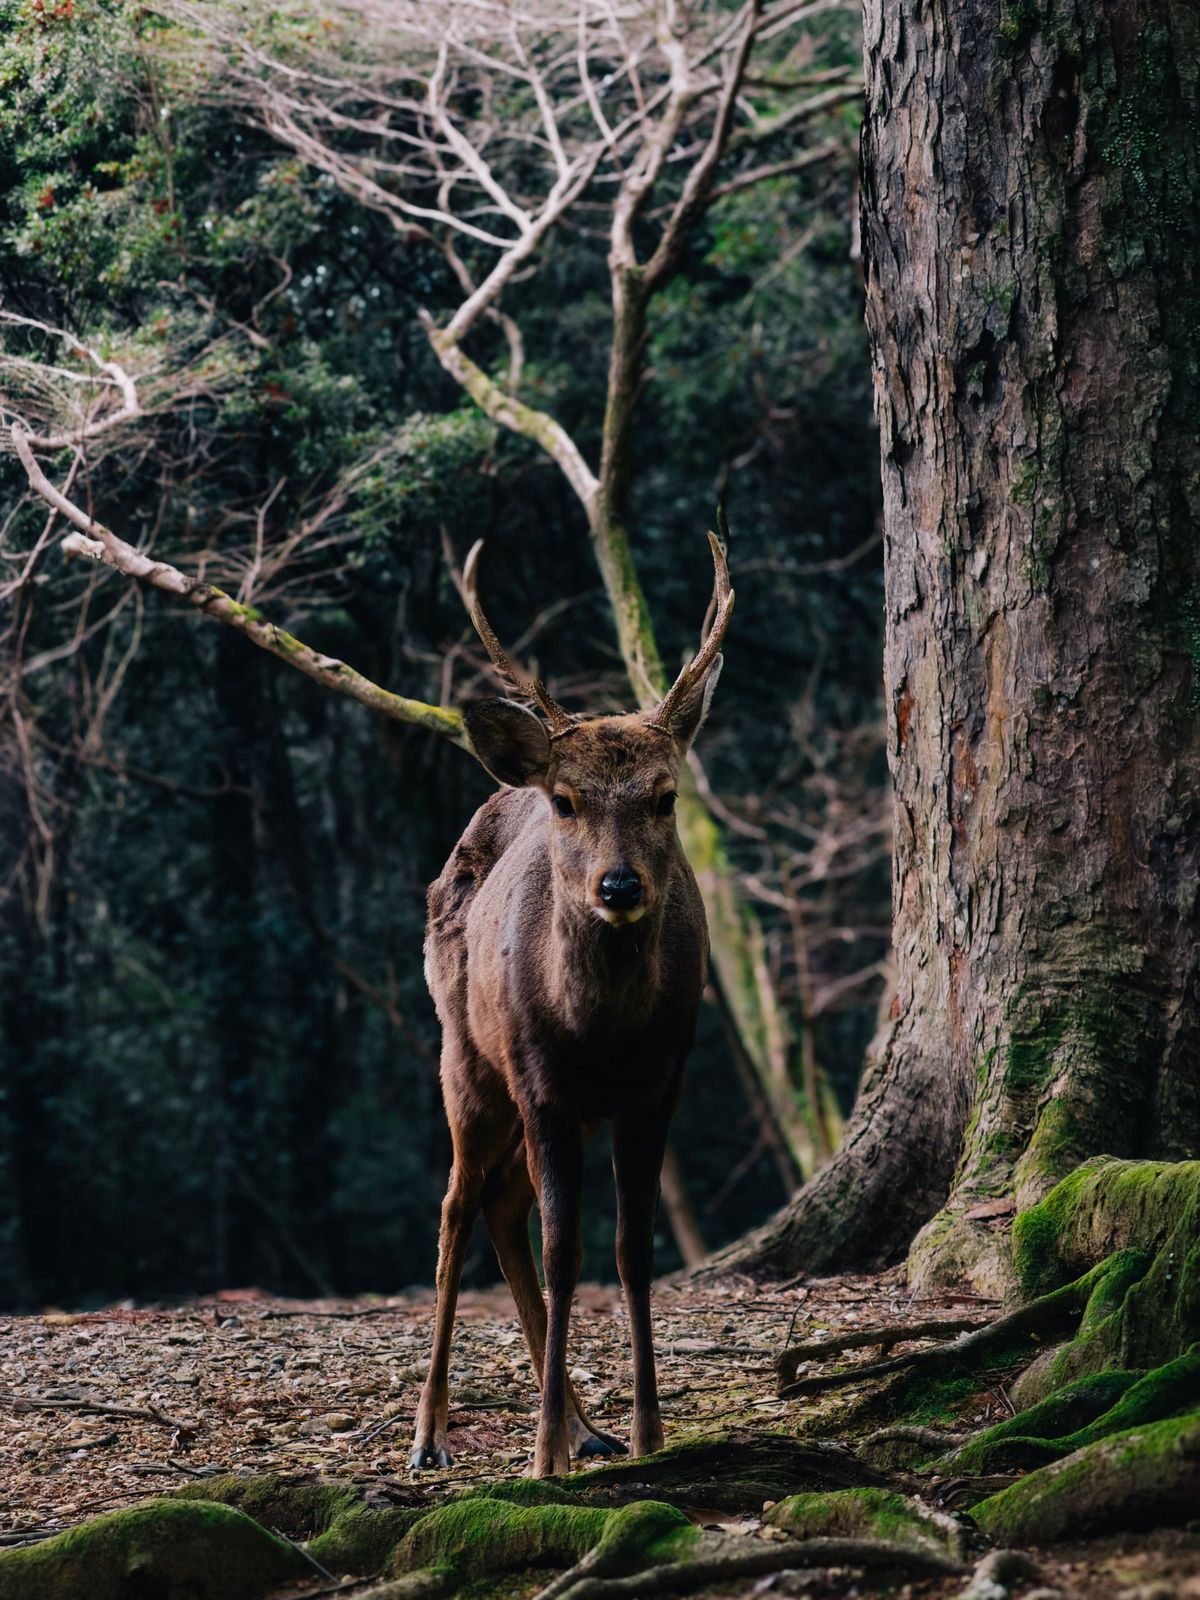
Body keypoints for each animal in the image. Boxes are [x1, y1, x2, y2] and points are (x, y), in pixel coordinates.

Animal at [410, 531, 733, 1479]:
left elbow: (630, 1249)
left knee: (501, 1207)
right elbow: (567, 1250)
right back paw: (430, 1436)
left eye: (665, 797)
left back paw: (588, 1428)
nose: (618, 886)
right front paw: (539, 1454)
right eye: (567, 799)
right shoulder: (541, 1080)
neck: (599, 1032)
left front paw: (647, 1432)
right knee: (455, 1210)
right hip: (467, 1060)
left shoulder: (658, 1085)